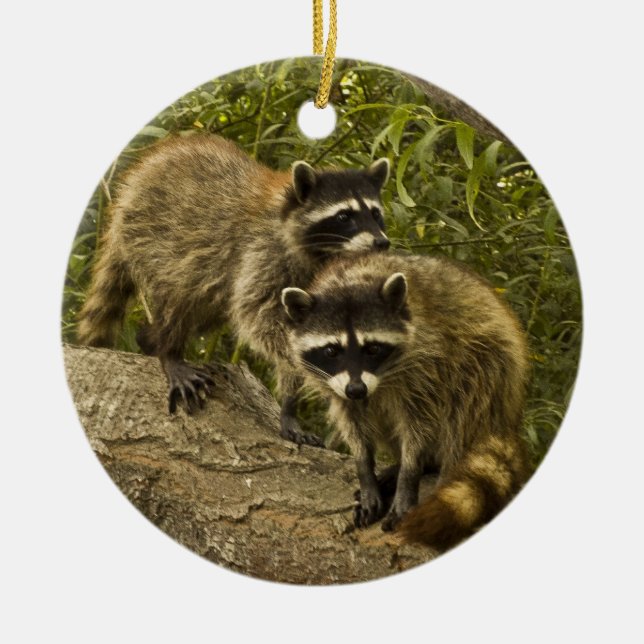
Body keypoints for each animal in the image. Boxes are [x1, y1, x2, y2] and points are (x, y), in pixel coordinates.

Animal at [77, 134, 391, 446]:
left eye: (376, 214)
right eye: (344, 216)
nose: (382, 242)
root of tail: (127, 194)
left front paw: (290, 403)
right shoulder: (262, 251)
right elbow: (259, 316)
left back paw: (148, 339)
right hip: (154, 235)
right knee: (180, 293)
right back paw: (169, 350)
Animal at [281, 252, 530, 549]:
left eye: (373, 348)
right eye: (331, 350)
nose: (357, 389)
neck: (349, 282)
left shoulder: (426, 362)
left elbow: (419, 425)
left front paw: (409, 475)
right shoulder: (337, 385)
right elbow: (353, 423)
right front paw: (365, 471)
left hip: (490, 362)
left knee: (466, 403)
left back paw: (439, 464)